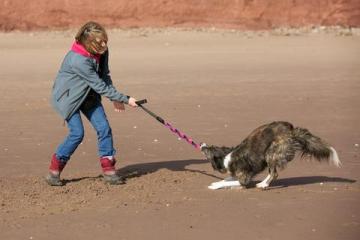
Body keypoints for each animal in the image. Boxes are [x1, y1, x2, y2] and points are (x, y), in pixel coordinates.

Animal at [201, 122, 342, 189]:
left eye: (208, 150)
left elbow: (230, 182)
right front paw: (217, 182)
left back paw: (263, 185)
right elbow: (226, 179)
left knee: (274, 173)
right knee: (272, 172)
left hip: (271, 152)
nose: (202, 144)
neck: (226, 157)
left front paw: (215, 186)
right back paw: (263, 183)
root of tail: (291, 130)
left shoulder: (244, 179)